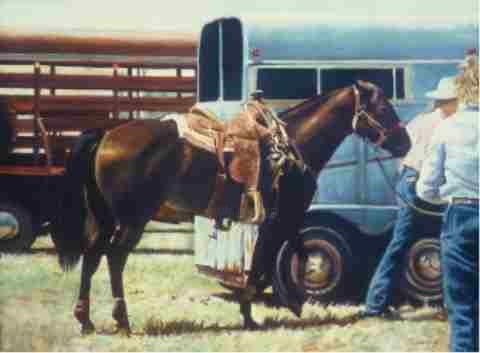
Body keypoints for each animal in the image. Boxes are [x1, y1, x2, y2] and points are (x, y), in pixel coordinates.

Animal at [52, 80, 410, 332]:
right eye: (382, 108)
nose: (405, 143)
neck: (292, 146)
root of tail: (107, 134)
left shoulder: (272, 221)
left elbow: (272, 258)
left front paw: (253, 311)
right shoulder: (281, 218)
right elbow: (277, 257)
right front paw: (270, 308)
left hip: (107, 218)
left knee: (92, 257)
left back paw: (85, 320)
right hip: (131, 220)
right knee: (114, 258)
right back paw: (122, 319)